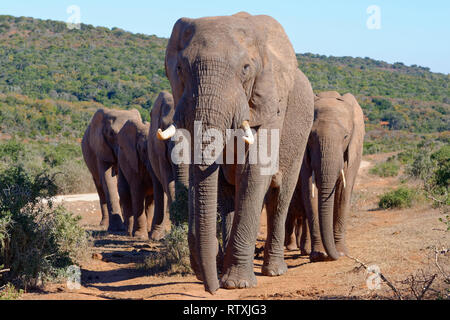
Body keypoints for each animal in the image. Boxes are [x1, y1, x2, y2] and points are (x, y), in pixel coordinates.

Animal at [157, 12, 312, 292]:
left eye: (245, 69)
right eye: (180, 69)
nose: (210, 288)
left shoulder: (270, 106)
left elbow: (253, 172)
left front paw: (237, 285)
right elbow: (213, 177)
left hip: (300, 136)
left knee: (280, 195)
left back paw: (274, 271)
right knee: (229, 194)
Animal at [284, 91, 366, 262]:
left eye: (346, 136)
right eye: (310, 137)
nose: (334, 256)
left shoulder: (354, 151)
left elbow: (343, 194)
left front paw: (341, 252)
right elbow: (310, 192)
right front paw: (318, 255)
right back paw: (301, 249)